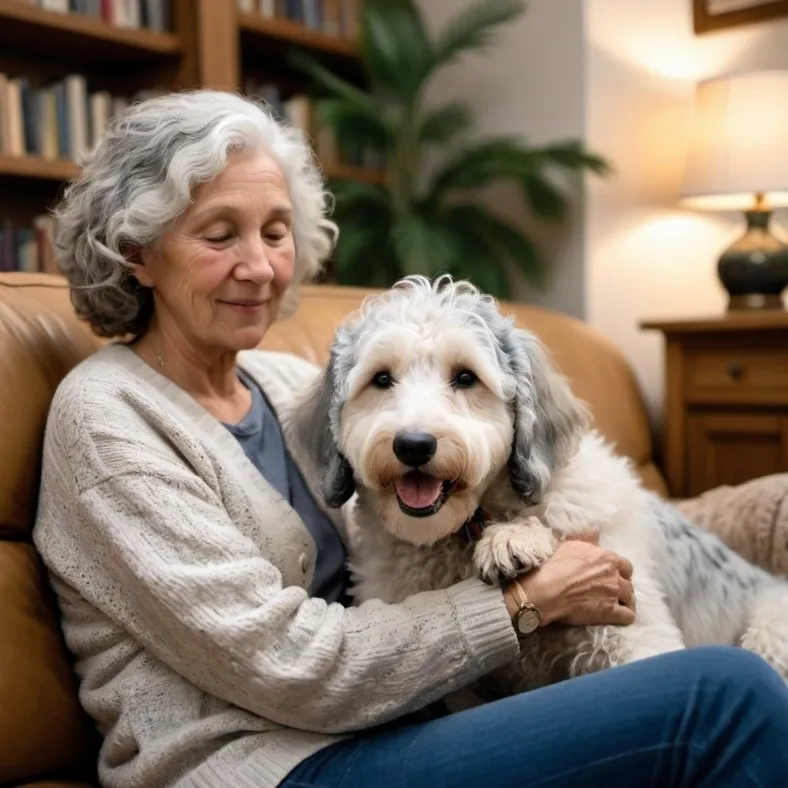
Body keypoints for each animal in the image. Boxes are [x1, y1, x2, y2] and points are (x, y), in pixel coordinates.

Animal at [294, 278, 788, 696]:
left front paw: (514, 539)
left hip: (770, 632)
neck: (463, 531)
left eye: (465, 377)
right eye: (381, 379)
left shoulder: (634, 629)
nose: (413, 445)